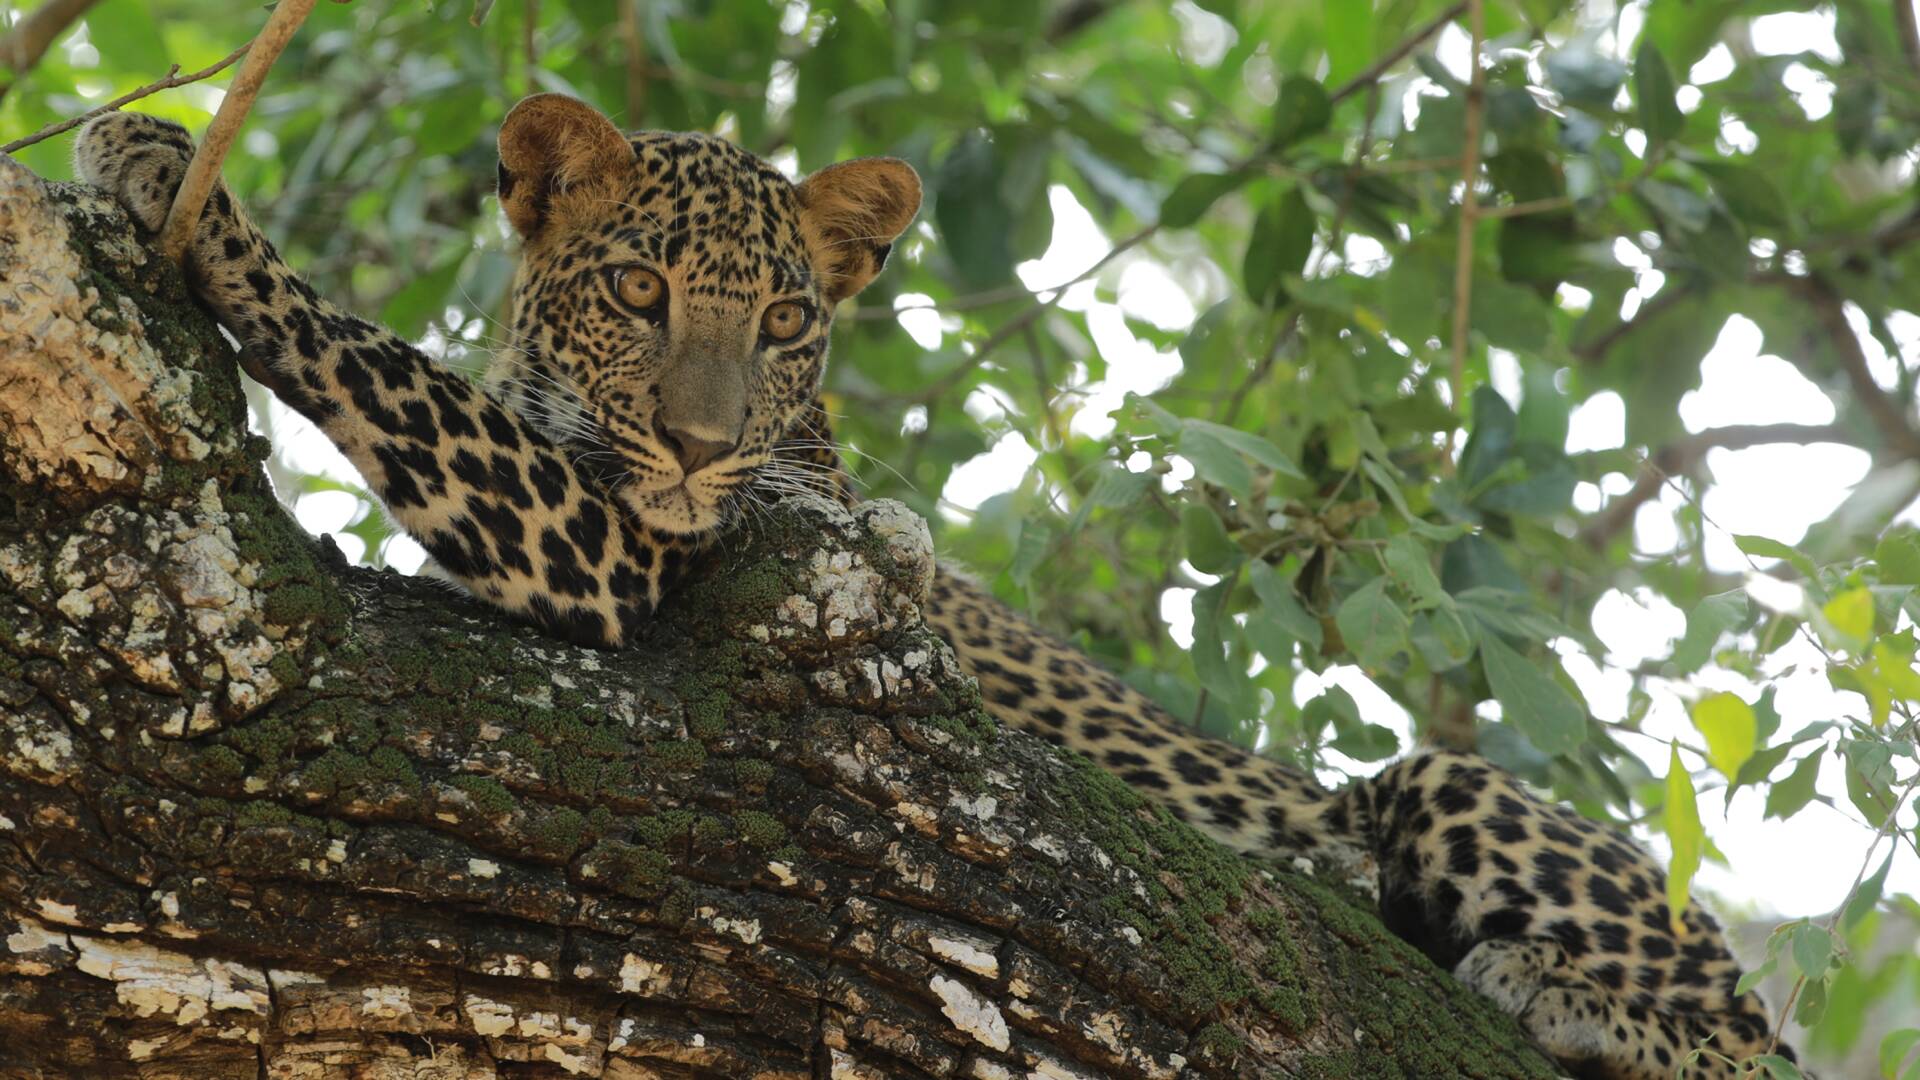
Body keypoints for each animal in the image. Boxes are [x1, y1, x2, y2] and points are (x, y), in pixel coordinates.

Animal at [71, 96, 1781, 1068]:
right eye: (639, 288)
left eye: (782, 323)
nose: (700, 446)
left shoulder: (639, 554)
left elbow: (383, 363)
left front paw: (168, 170)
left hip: (1453, 790)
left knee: (1748, 1034)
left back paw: (1563, 991)